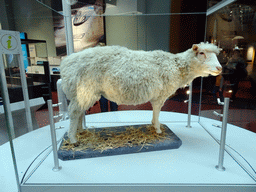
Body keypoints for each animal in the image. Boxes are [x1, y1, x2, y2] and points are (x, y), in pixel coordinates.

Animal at [60, 42, 222, 144]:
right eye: (201, 53)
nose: (220, 68)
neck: (176, 66)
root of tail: (65, 63)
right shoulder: (160, 95)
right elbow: (157, 111)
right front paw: (158, 129)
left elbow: (155, 111)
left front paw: (154, 125)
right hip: (85, 90)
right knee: (74, 113)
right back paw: (73, 139)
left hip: (81, 94)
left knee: (79, 113)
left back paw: (80, 131)